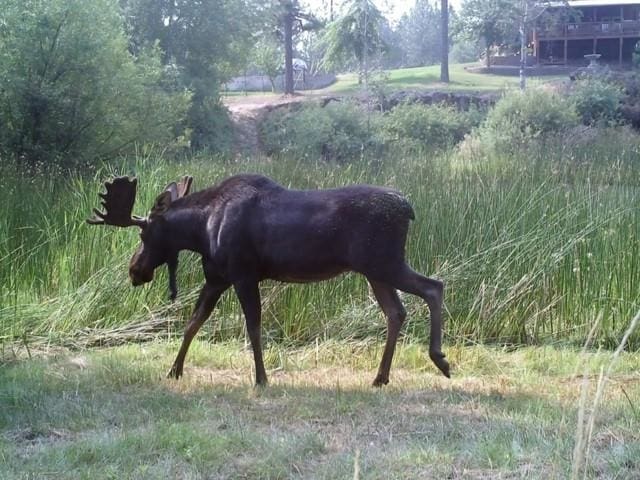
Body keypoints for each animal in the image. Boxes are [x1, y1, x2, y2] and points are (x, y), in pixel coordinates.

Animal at [87, 172, 450, 386]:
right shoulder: (217, 278)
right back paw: (381, 377)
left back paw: (439, 360)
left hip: (384, 262)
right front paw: (174, 370)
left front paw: (261, 378)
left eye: (144, 233)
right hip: (374, 270)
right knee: (396, 312)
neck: (201, 231)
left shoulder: (244, 274)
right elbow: (193, 323)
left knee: (434, 287)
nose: (135, 270)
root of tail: (409, 209)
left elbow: (253, 327)